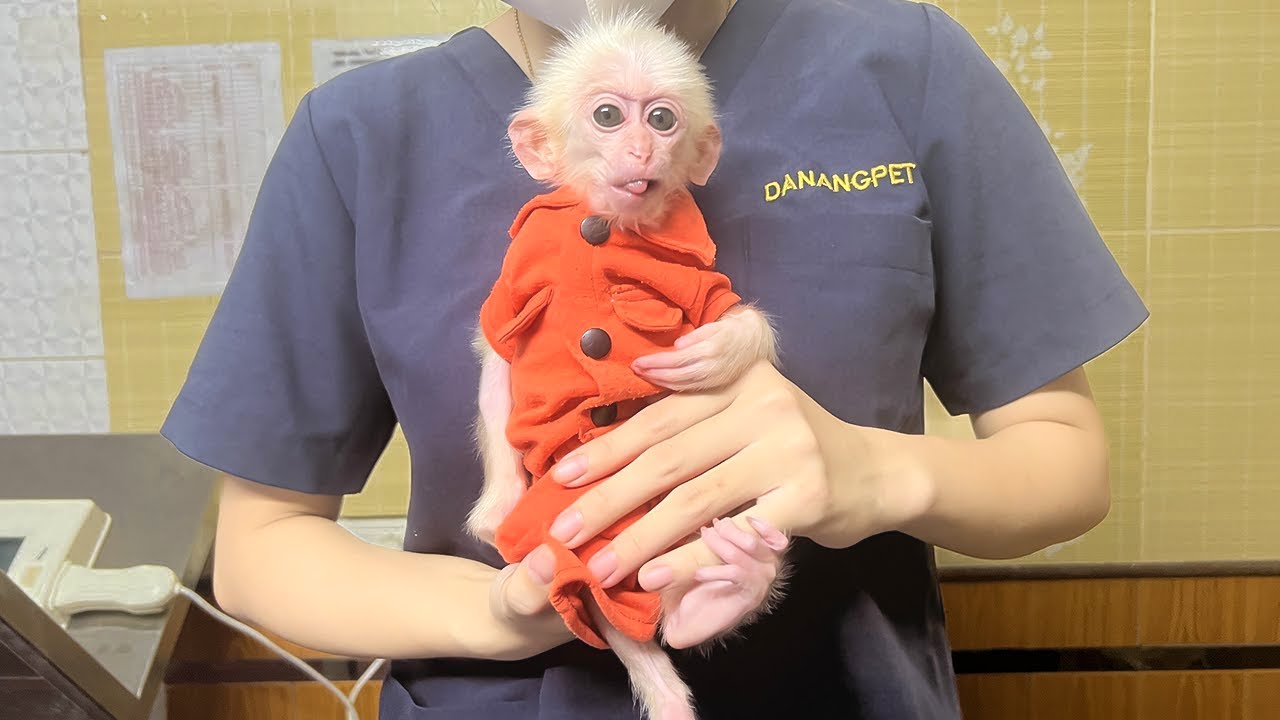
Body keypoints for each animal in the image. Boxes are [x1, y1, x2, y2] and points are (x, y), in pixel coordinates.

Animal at [467, 12, 789, 720]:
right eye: (609, 116)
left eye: (662, 119)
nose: (643, 151)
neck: (608, 225)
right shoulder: (517, 271)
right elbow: (498, 364)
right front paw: (497, 506)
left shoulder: (693, 273)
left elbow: (722, 308)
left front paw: (719, 350)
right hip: (575, 521)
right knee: (599, 579)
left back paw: (730, 587)